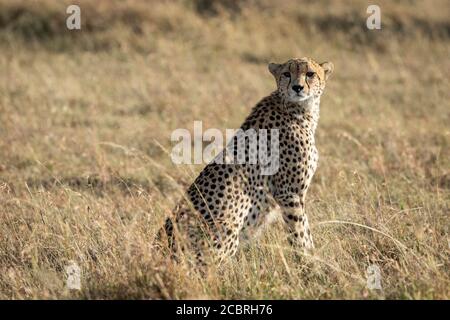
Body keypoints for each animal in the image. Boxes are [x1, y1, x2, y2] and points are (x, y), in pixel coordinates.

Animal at [156, 57, 332, 264]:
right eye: (287, 74)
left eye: (310, 74)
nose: (297, 87)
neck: (297, 109)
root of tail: (157, 248)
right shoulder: (289, 194)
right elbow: (300, 233)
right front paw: (309, 262)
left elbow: (305, 232)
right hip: (227, 227)